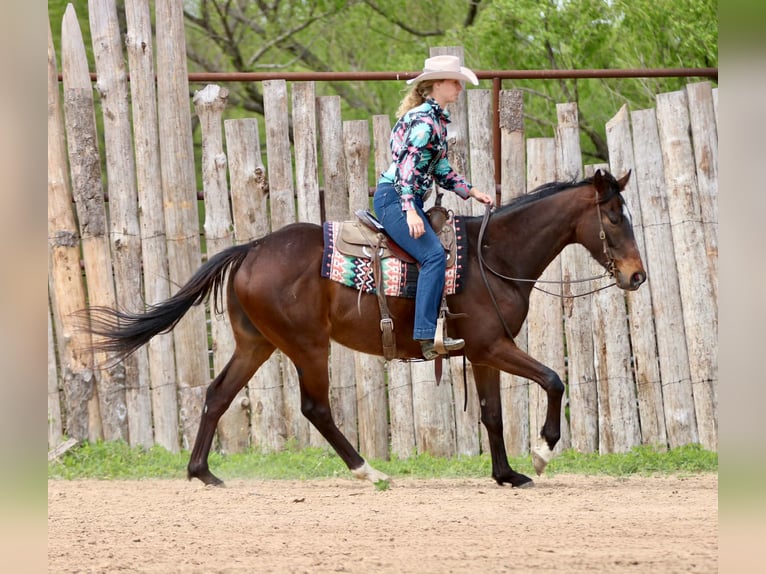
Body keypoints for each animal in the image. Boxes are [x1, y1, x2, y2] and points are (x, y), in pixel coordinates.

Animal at [82, 169, 646, 489]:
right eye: (614, 217)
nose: (637, 276)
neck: (493, 256)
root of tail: (252, 249)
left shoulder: (481, 352)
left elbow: (491, 415)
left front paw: (507, 475)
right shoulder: (493, 345)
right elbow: (553, 380)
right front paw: (544, 452)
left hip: (257, 344)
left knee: (218, 394)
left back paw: (202, 473)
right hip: (308, 346)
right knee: (315, 408)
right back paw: (368, 470)